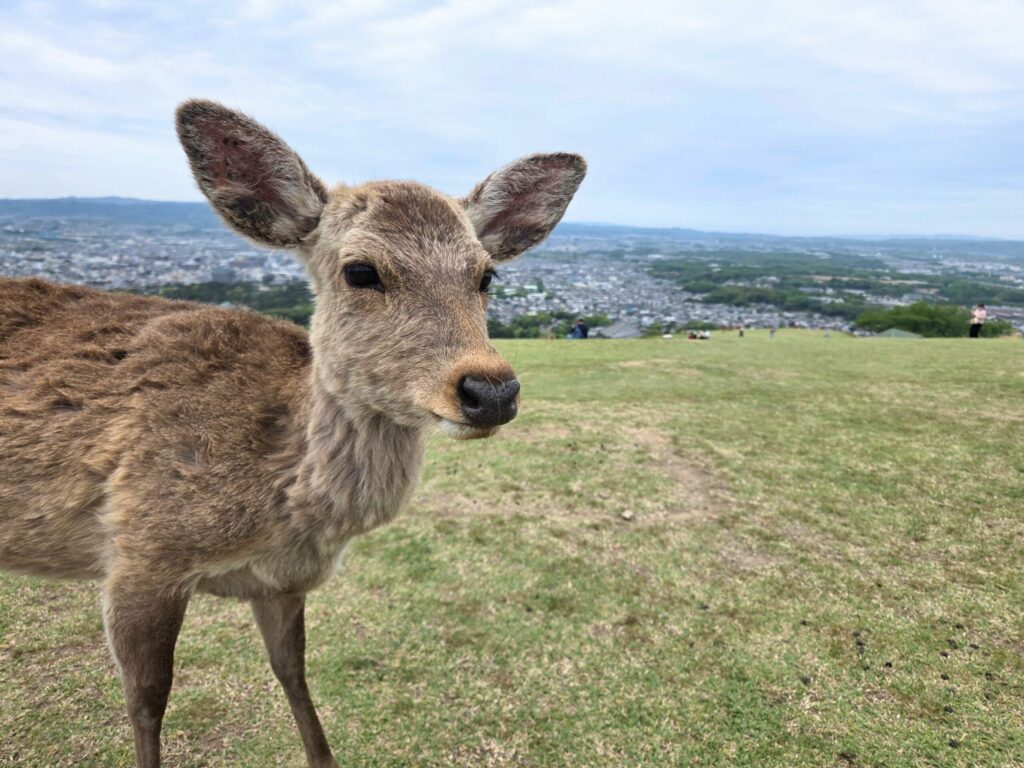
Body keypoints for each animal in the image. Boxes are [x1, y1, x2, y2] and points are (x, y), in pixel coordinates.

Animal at [0, 99, 586, 768]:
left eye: (487, 276)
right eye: (360, 271)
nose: (491, 392)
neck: (280, 503)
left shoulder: (280, 580)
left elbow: (293, 673)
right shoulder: (140, 552)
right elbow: (146, 704)